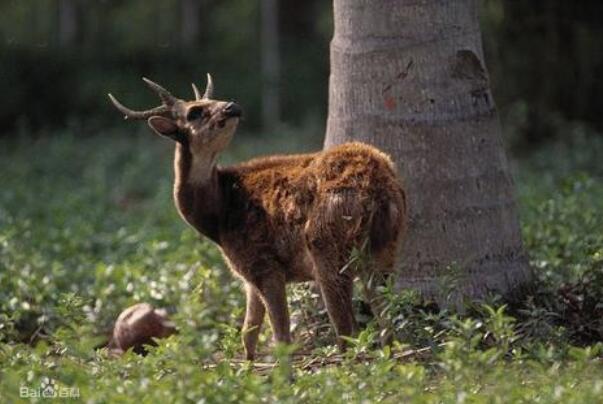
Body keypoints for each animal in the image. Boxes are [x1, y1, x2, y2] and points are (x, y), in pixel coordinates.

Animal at [111, 76, 408, 360]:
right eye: (194, 112)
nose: (232, 106)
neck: (220, 216)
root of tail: (379, 187)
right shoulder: (249, 276)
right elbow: (248, 332)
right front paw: (247, 367)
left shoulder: (263, 263)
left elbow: (280, 337)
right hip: (386, 248)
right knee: (386, 318)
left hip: (328, 244)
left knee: (348, 329)